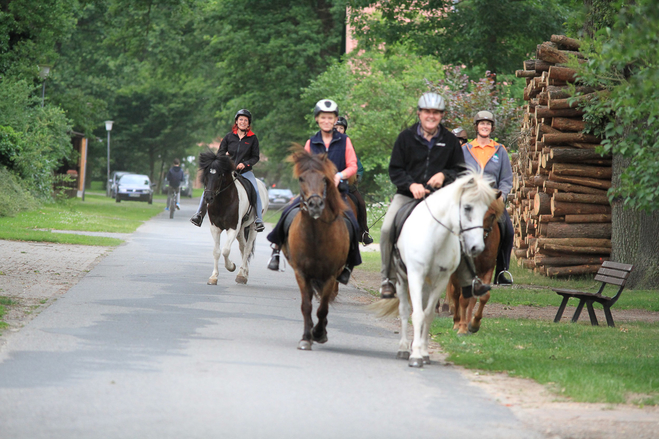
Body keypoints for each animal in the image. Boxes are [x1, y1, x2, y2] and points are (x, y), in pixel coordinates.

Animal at [197, 153, 270, 288]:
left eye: (219, 175)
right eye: (206, 174)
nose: (208, 197)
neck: (222, 202)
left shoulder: (233, 228)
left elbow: (225, 250)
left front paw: (231, 266)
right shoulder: (215, 228)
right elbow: (216, 251)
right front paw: (213, 277)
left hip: (252, 227)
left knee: (247, 248)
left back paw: (241, 275)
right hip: (241, 229)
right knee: (243, 247)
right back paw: (244, 272)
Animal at [282, 146, 350, 352]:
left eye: (324, 179)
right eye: (301, 178)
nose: (315, 205)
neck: (315, 237)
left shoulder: (330, 276)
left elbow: (323, 308)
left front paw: (319, 333)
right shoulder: (302, 273)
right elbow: (307, 306)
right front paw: (306, 337)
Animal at [374, 172, 498, 368]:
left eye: (488, 210)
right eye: (467, 207)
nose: (476, 247)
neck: (435, 236)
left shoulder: (441, 280)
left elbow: (428, 314)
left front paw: (423, 353)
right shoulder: (415, 276)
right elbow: (416, 314)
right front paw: (415, 356)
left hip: (427, 284)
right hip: (402, 280)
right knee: (404, 310)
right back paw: (403, 348)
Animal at [448, 196, 506, 336]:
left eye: (492, 215)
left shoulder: (487, 269)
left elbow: (483, 296)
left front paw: (474, 324)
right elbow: (462, 298)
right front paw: (462, 328)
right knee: (455, 294)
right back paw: (457, 322)